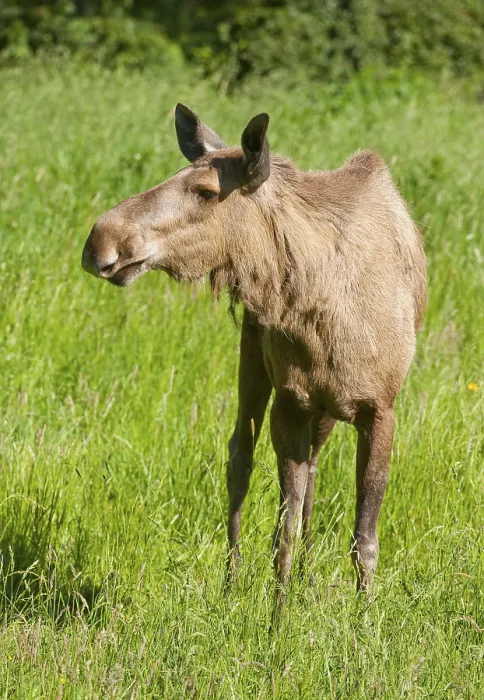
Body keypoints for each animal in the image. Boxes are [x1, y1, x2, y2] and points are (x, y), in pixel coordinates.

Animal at [82, 104, 427, 596]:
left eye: (207, 191)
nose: (99, 243)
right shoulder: (291, 400)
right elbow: (284, 530)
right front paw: (277, 612)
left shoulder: (380, 408)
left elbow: (364, 538)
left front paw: (362, 612)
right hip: (254, 360)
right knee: (240, 458)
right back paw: (231, 582)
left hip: (320, 408)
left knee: (312, 470)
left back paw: (305, 576)